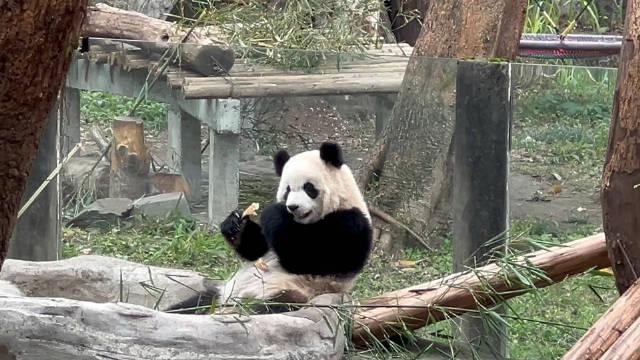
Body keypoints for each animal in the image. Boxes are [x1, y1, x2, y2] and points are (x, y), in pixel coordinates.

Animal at [168, 142, 372, 314]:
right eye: (287, 190)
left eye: (309, 188)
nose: (293, 207)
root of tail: (231, 303)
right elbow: (257, 250)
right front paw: (235, 225)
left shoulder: (349, 223)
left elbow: (306, 257)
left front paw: (273, 213)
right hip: (221, 293)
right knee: (196, 302)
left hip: (293, 290)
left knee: (271, 305)